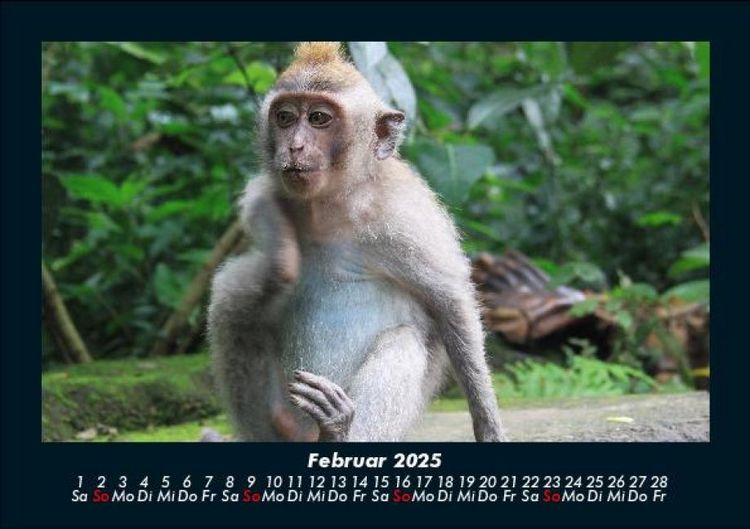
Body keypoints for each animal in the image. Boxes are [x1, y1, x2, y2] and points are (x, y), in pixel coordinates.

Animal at [207, 42, 506, 442]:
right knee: (231, 301)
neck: (331, 206)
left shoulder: (405, 217)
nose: (295, 146)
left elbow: (451, 304)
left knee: (404, 340)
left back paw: (337, 430)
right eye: (284, 117)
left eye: (319, 118)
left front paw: (489, 426)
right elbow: (259, 213)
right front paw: (281, 257)